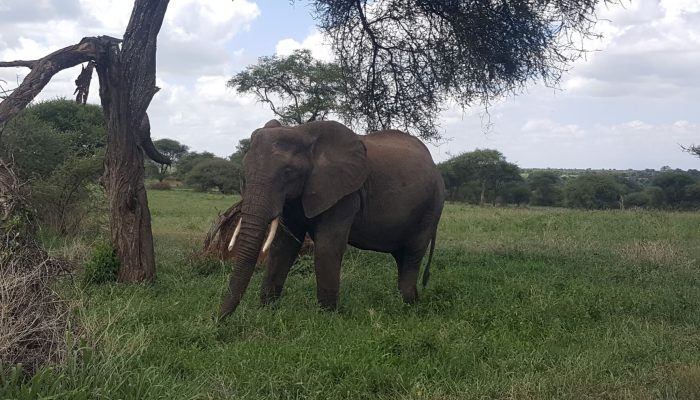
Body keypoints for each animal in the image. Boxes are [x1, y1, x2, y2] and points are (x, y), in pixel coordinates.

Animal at [219, 119, 445, 319]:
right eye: (244, 174)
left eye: (288, 172)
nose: (218, 321)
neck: (302, 132)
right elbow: (283, 247)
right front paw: (266, 312)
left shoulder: (345, 193)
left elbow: (328, 247)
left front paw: (327, 318)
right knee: (402, 258)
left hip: (432, 207)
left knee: (412, 255)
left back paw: (408, 307)